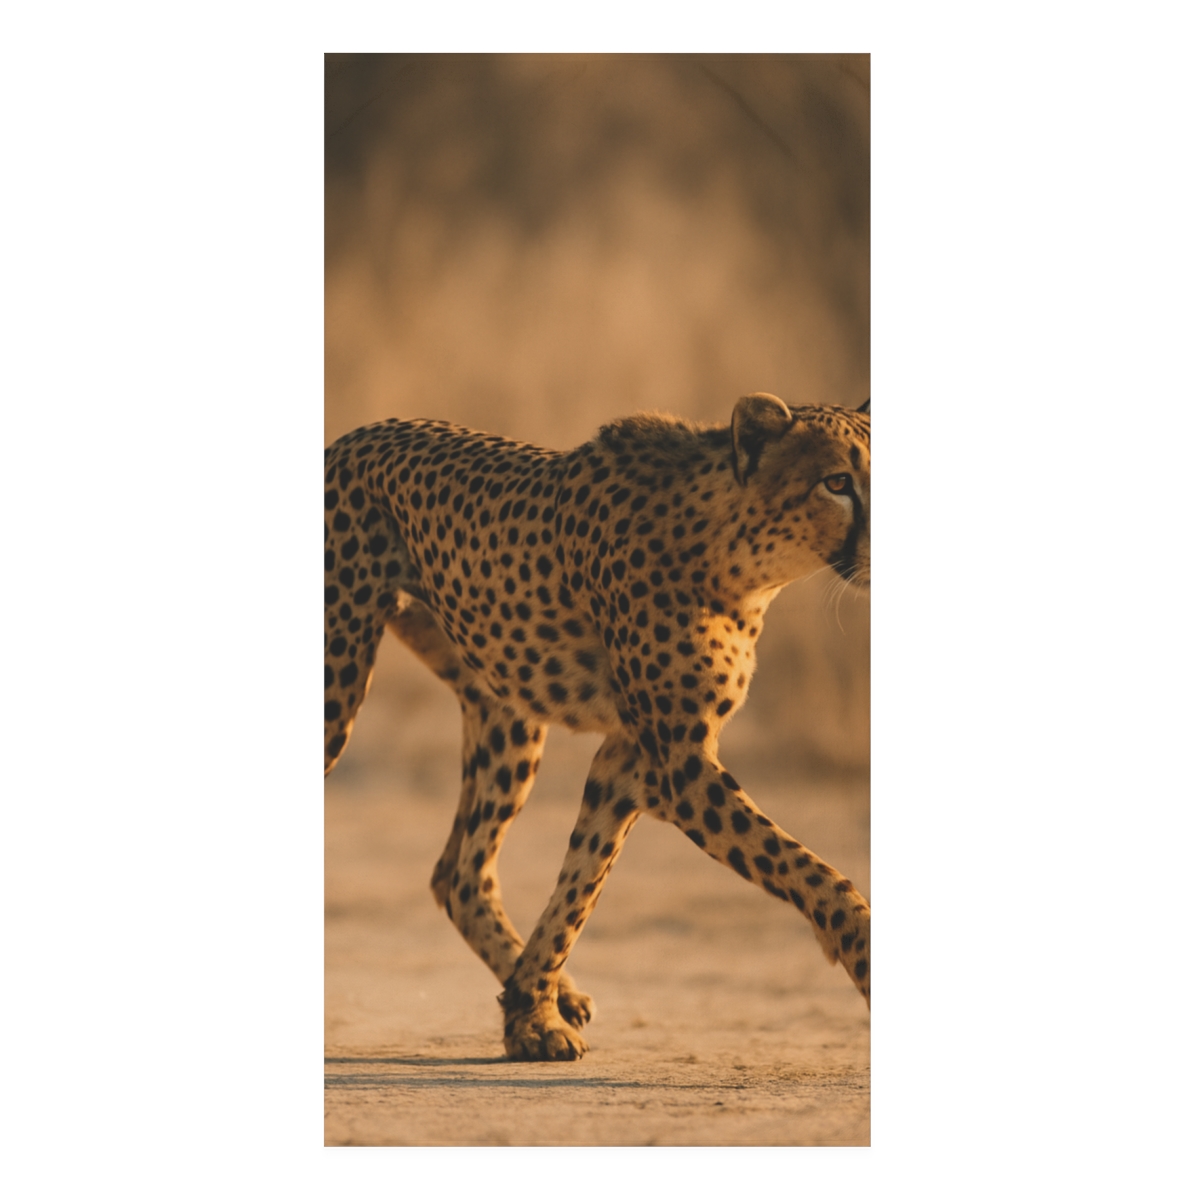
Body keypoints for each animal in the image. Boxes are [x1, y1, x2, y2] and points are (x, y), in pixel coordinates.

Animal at [324, 392, 870, 1061]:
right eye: (837, 482)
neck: (742, 554)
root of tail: (355, 435)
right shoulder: (679, 765)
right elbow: (812, 872)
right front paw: (866, 957)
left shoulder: (630, 759)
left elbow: (581, 885)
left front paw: (531, 1012)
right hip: (338, 685)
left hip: (505, 709)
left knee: (458, 872)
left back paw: (550, 988)